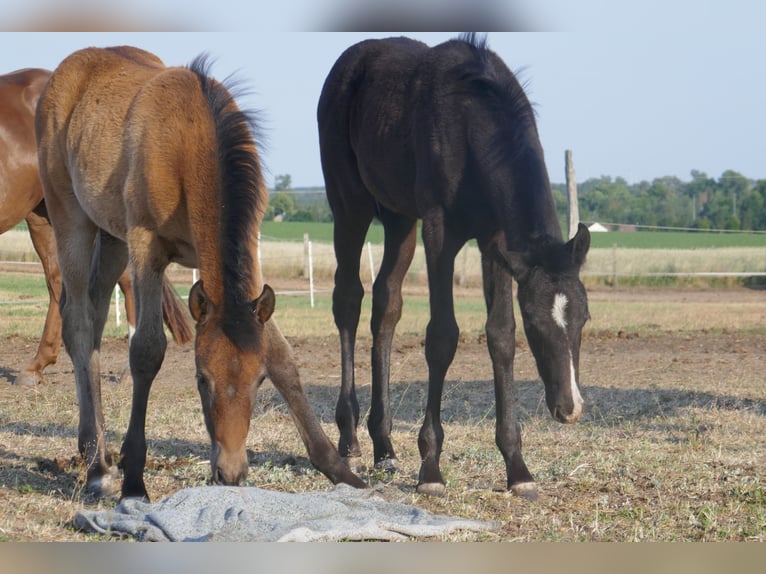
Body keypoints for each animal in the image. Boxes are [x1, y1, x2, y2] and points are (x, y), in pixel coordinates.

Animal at [36, 46, 366, 500]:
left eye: (259, 381)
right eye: (200, 379)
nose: (231, 473)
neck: (191, 139)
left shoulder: (248, 259)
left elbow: (283, 355)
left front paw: (339, 468)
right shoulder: (147, 245)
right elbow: (147, 350)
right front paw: (135, 479)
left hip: (112, 235)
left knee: (96, 316)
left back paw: (96, 455)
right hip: (71, 218)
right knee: (79, 323)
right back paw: (98, 468)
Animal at [318, 33, 590, 500]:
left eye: (584, 318)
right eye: (537, 324)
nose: (569, 408)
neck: (470, 123)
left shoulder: (495, 242)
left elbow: (500, 336)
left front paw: (517, 467)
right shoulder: (439, 232)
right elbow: (442, 336)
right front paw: (430, 467)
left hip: (399, 219)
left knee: (386, 305)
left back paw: (384, 446)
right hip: (350, 207)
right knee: (349, 300)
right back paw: (350, 437)